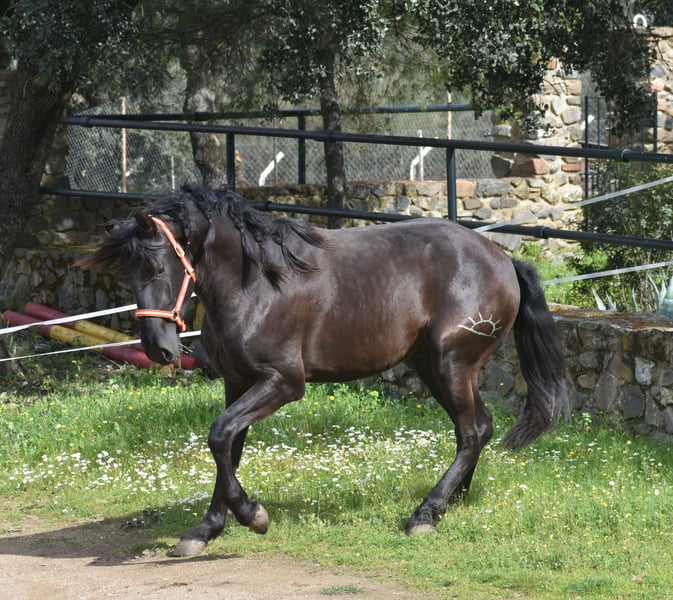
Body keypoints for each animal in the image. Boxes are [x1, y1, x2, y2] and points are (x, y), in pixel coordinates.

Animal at [77, 184, 567, 557]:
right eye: (128, 275)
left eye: (160, 267)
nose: (158, 349)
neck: (256, 284)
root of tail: (503, 259)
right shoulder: (238, 383)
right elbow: (228, 448)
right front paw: (206, 530)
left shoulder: (283, 383)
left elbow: (219, 436)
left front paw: (254, 516)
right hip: (431, 366)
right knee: (478, 426)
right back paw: (457, 498)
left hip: (451, 364)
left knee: (471, 431)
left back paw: (426, 513)